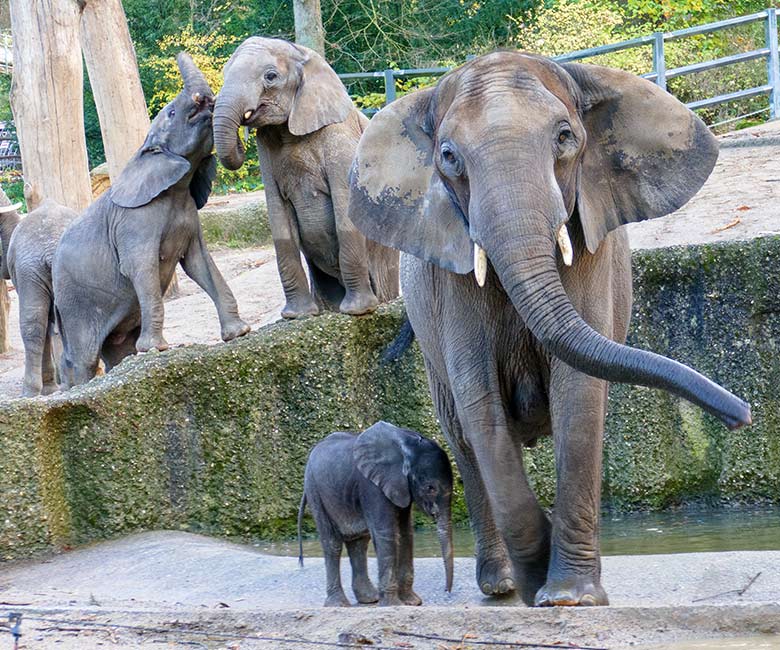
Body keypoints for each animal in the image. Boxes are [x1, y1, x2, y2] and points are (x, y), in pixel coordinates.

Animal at [53, 53, 248, 388]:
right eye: (171, 112)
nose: (208, 102)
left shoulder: (189, 215)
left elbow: (199, 263)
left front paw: (239, 333)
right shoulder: (135, 223)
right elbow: (140, 268)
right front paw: (156, 350)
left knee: (116, 349)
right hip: (73, 304)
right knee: (83, 357)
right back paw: (83, 386)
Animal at [212, 36, 400, 318]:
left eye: (270, 76)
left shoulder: (339, 139)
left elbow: (344, 208)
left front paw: (358, 311)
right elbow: (278, 219)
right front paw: (297, 315)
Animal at [298, 422, 458, 604]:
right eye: (430, 488)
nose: (447, 591)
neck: (406, 442)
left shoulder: (400, 486)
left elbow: (406, 533)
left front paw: (412, 602)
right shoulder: (372, 485)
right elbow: (386, 532)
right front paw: (394, 605)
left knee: (359, 543)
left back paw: (369, 599)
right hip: (315, 491)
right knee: (332, 544)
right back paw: (340, 604)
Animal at [346, 53, 748, 604]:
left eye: (564, 137)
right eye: (448, 157)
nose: (742, 415)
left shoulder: (590, 243)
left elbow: (578, 395)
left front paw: (568, 597)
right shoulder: (448, 279)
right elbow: (480, 403)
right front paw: (537, 579)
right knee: (462, 435)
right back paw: (500, 585)